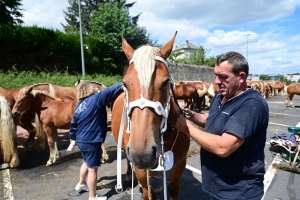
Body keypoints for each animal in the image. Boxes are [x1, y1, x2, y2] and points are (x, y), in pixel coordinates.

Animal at [111, 33, 189, 200]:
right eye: (124, 83)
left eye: (166, 82)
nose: (142, 154)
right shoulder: (141, 171)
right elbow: (149, 192)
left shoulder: (180, 165)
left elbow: (173, 189)